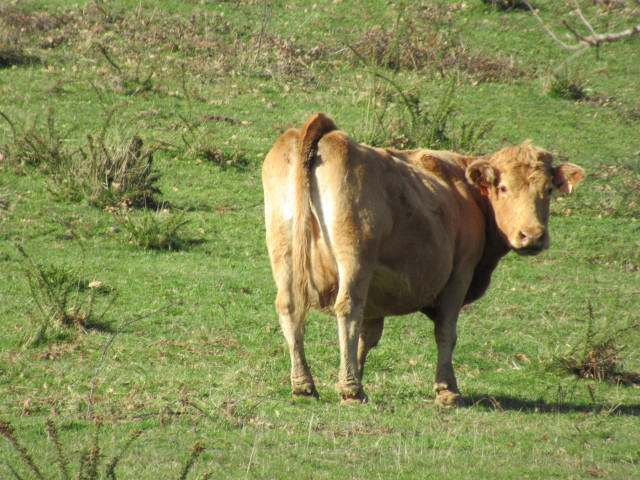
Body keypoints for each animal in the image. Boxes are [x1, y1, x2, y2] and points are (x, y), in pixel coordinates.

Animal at [262, 113, 584, 405]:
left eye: (548, 190)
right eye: (503, 187)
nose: (532, 235)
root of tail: (328, 132)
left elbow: (368, 336)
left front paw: (352, 375)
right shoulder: (460, 274)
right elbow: (445, 332)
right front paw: (447, 389)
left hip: (283, 250)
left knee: (290, 308)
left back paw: (305, 385)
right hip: (355, 256)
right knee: (348, 308)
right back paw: (351, 390)